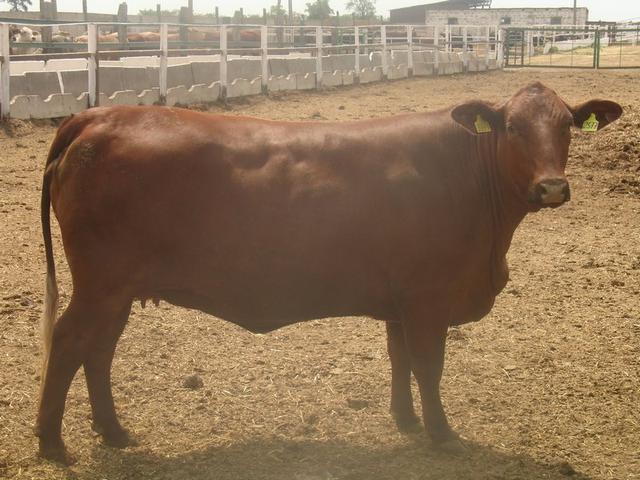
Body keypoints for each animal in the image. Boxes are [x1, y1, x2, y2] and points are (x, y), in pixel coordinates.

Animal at [36, 82, 622, 463]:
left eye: (567, 126)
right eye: (513, 127)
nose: (552, 187)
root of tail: (98, 115)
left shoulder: (400, 299)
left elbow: (400, 359)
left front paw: (406, 421)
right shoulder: (428, 298)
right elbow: (428, 366)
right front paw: (441, 434)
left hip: (117, 290)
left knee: (99, 350)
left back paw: (113, 432)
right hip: (100, 284)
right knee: (69, 342)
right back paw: (52, 442)